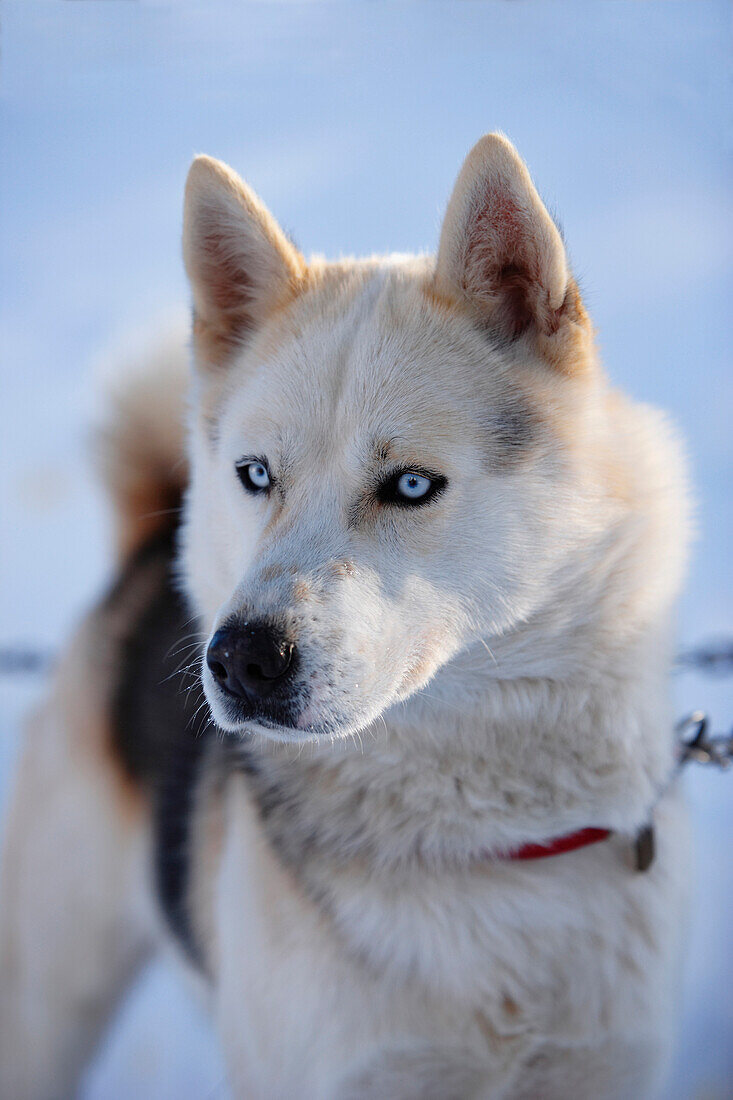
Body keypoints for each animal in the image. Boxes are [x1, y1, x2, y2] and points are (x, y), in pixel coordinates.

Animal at [0, 137, 686, 1100]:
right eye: (256, 475)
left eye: (410, 484)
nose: (241, 661)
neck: (486, 849)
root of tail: (141, 553)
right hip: (46, 1001)